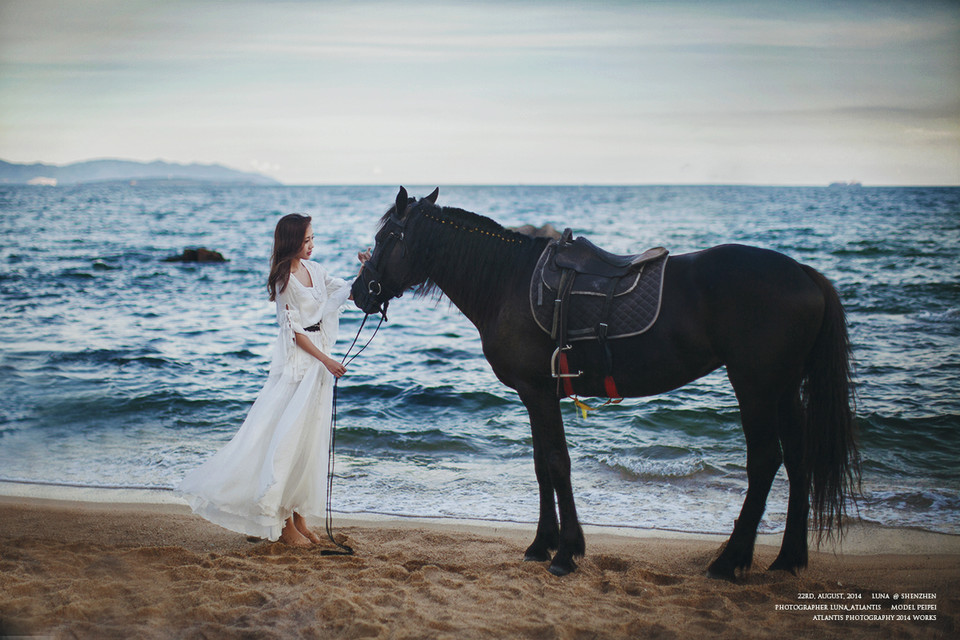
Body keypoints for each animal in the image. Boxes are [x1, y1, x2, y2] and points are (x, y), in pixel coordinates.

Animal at [352, 187, 860, 580]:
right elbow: (541, 465)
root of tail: (804, 273)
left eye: (384, 238)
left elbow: (557, 464)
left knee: (765, 461)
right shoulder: (535, 396)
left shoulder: (538, 393)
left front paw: (566, 551)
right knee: (798, 459)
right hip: (784, 387)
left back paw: (728, 561)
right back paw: (788, 558)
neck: (508, 282)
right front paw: (542, 543)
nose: (360, 292)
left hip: (755, 385)